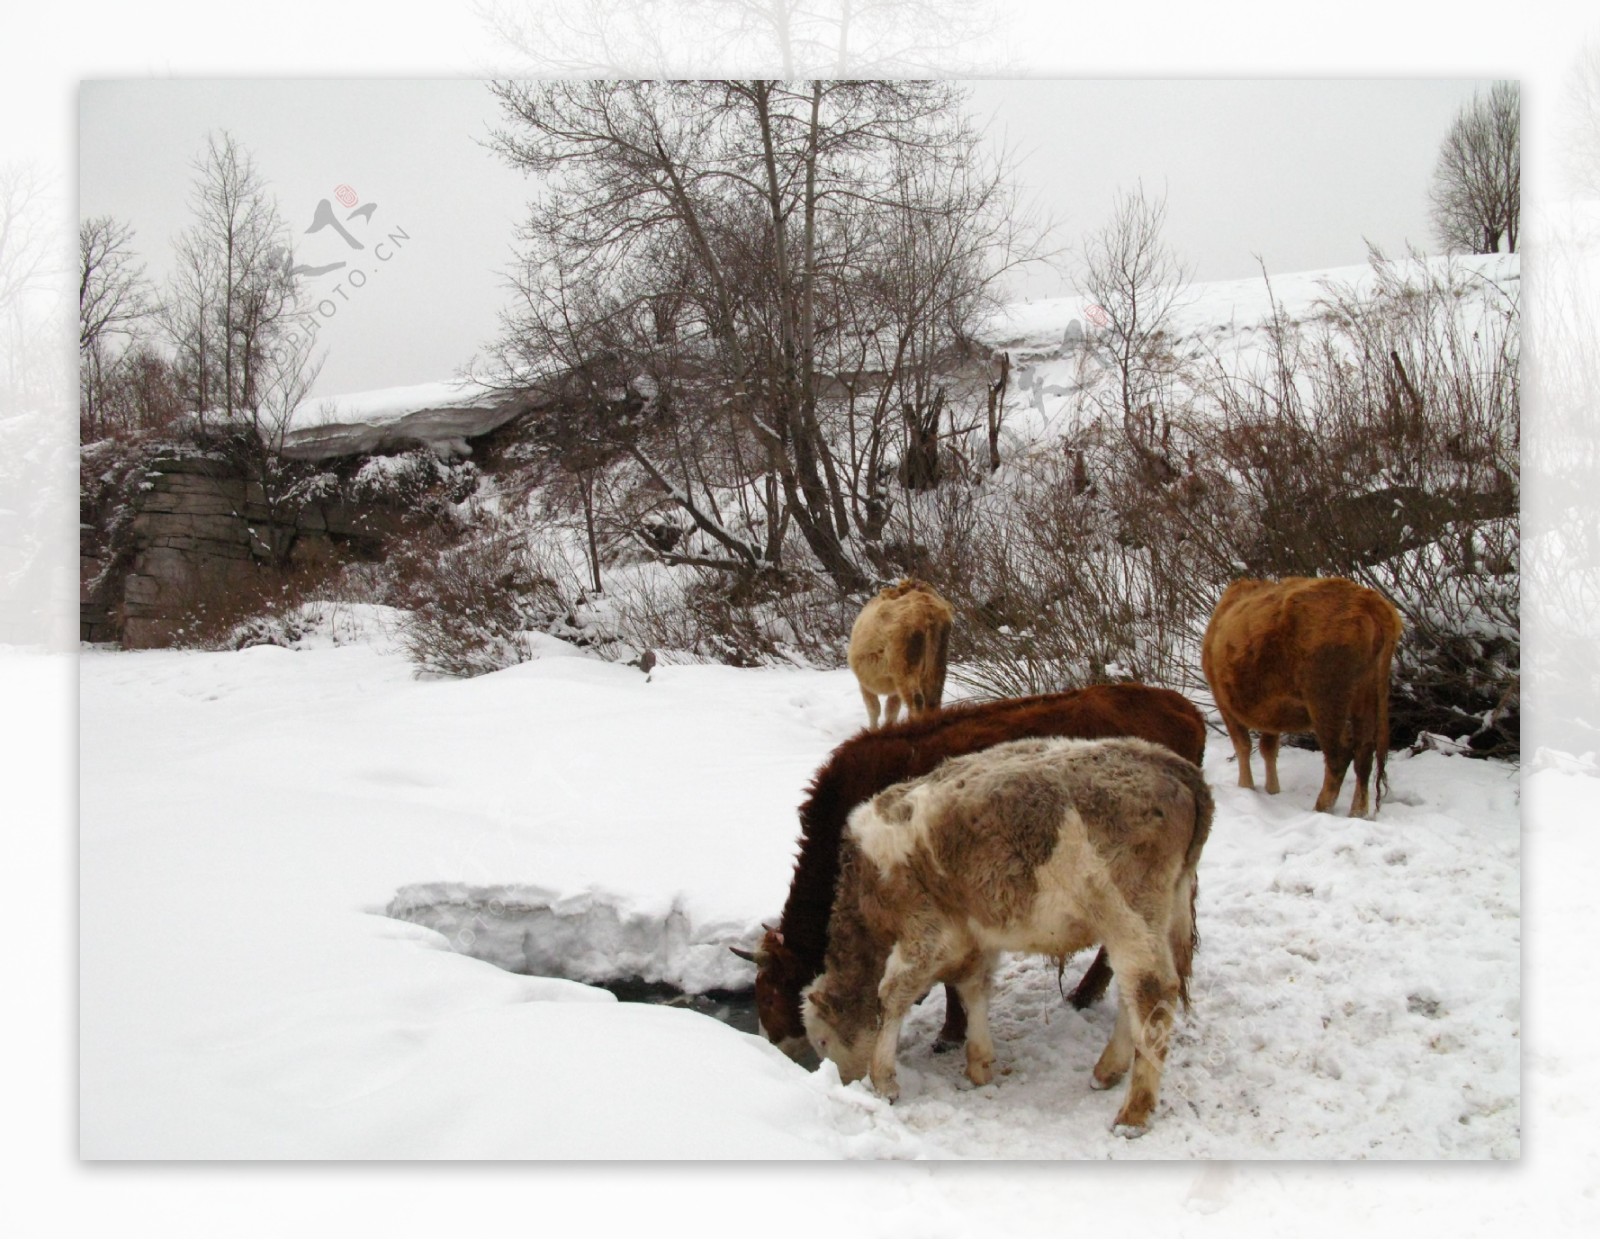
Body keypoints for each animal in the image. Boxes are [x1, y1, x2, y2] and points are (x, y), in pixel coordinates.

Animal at [800, 732, 1209, 1139]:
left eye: (822, 1040)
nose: (844, 1081)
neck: (869, 883)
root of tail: (1166, 761)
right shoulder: (973, 938)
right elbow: (973, 989)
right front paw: (978, 1065)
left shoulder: (928, 934)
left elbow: (892, 996)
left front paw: (883, 1080)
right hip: (1157, 917)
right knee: (1135, 993)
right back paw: (1108, 1070)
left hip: (1131, 916)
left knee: (1152, 992)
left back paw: (1133, 1113)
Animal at [851, 579, 947, 726]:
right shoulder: (894, 689)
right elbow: (891, 710)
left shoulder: (865, 684)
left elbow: (874, 710)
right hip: (937, 665)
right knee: (933, 700)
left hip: (905, 671)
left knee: (916, 701)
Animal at [1203, 576, 1401, 819]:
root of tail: (1367, 600)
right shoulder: (1270, 713)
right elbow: (1269, 748)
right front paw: (1272, 790)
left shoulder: (1225, 703)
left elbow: (1243, 746)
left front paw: (1246, 787)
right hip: (1366, 695)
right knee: (1364, 751)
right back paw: (1357, 812)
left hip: (1325, 699)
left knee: (1338, 754)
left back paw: (1321, 808)